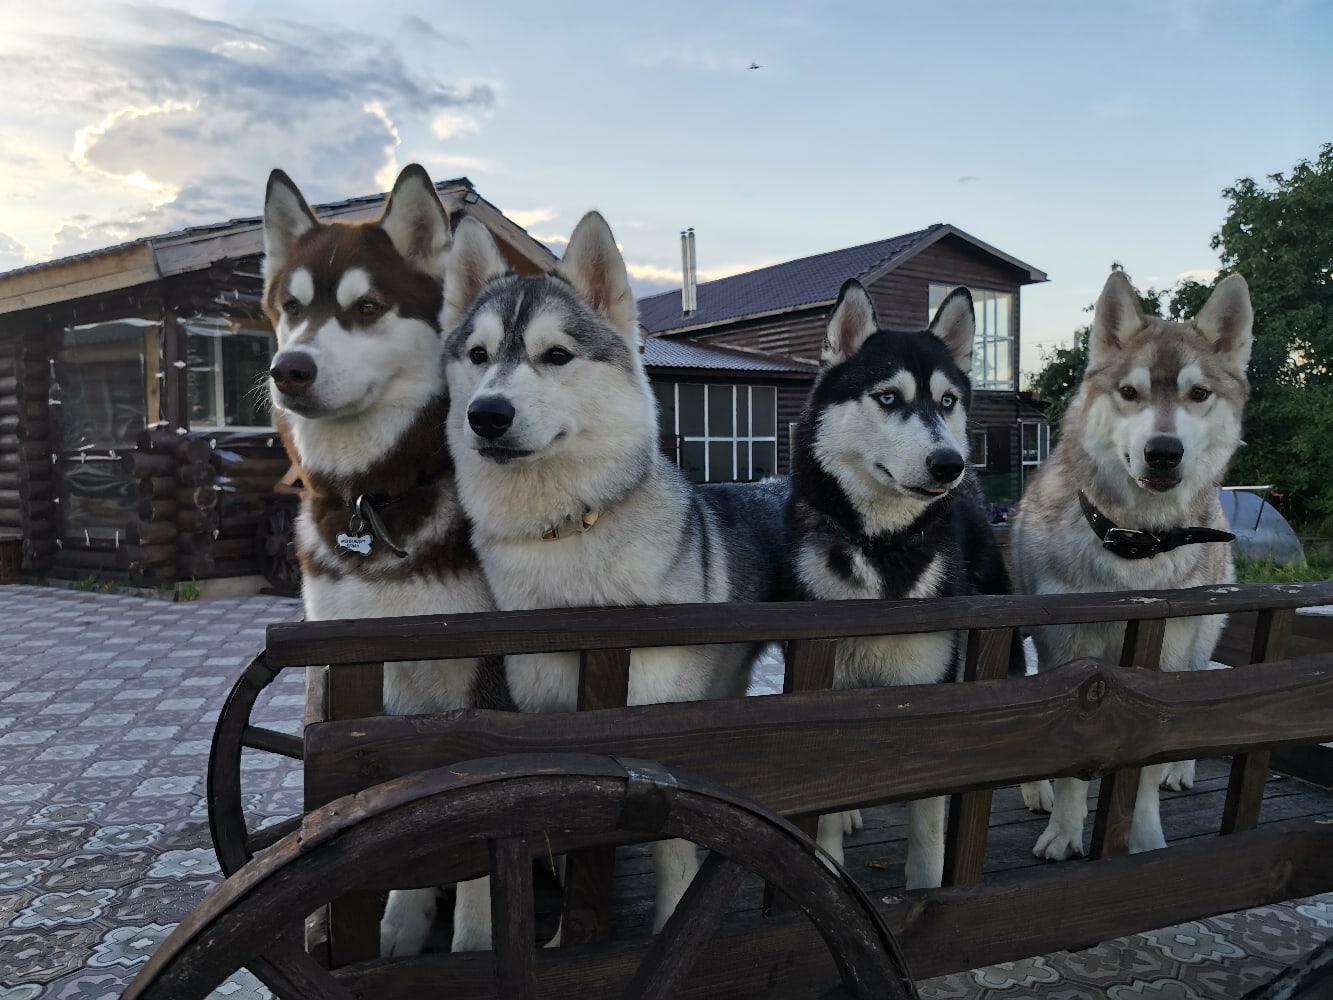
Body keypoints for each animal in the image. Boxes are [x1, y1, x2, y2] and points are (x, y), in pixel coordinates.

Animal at [261, 164, 502, 956]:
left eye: (366, 308)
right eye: (291, 309)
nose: (288, 370)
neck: (376, 498)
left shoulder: (485, 683)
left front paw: (478, 939)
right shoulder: (361, 669)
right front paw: (399, 921)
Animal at [440, 210, 788, 934]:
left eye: (555, 356)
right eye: (478, 357)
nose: (486, 414)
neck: (568, 532)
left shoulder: (658, 726)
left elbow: (677, 849)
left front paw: (670, 926)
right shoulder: (554, 725)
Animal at [785, 278, 1021, 889]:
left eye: (947, 401)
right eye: (889, 398)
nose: (950, 464)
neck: (883, 548)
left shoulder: (928, 685)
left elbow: (928, 823)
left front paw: (925, 885)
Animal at [1013, 270, 1252, 860]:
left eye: (1198, 394)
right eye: (1129, 393)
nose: (1163, 451)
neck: (1135, 544)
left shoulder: (1163, 662)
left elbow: (1146, 762)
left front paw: (1144, 837)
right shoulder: (1068, 653)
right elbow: (1068, 758)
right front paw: (1064, 833)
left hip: (1199, 642)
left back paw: (1180, 772)